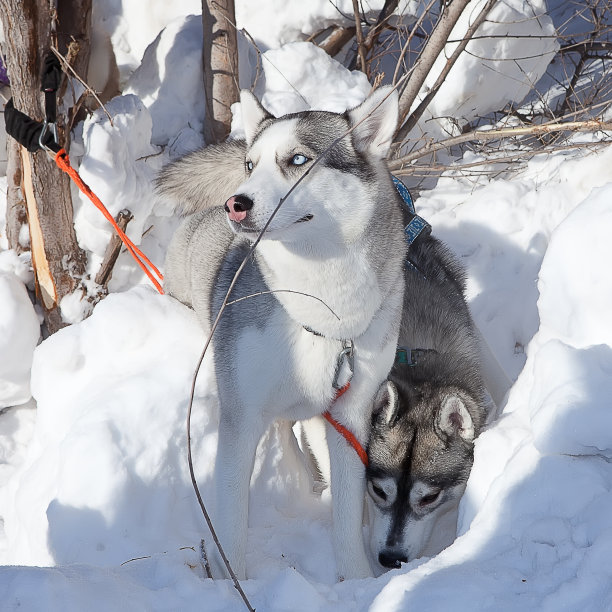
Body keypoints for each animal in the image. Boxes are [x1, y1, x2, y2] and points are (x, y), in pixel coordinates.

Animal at [158, 86, 406, 580]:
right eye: (252, 165)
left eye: (298, 159)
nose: (237, 203)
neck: (323, 318)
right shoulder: (241, 418)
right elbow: (232, 525)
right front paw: (233, 587)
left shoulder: (351, 416)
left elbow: (347, 515)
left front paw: (358, 581)